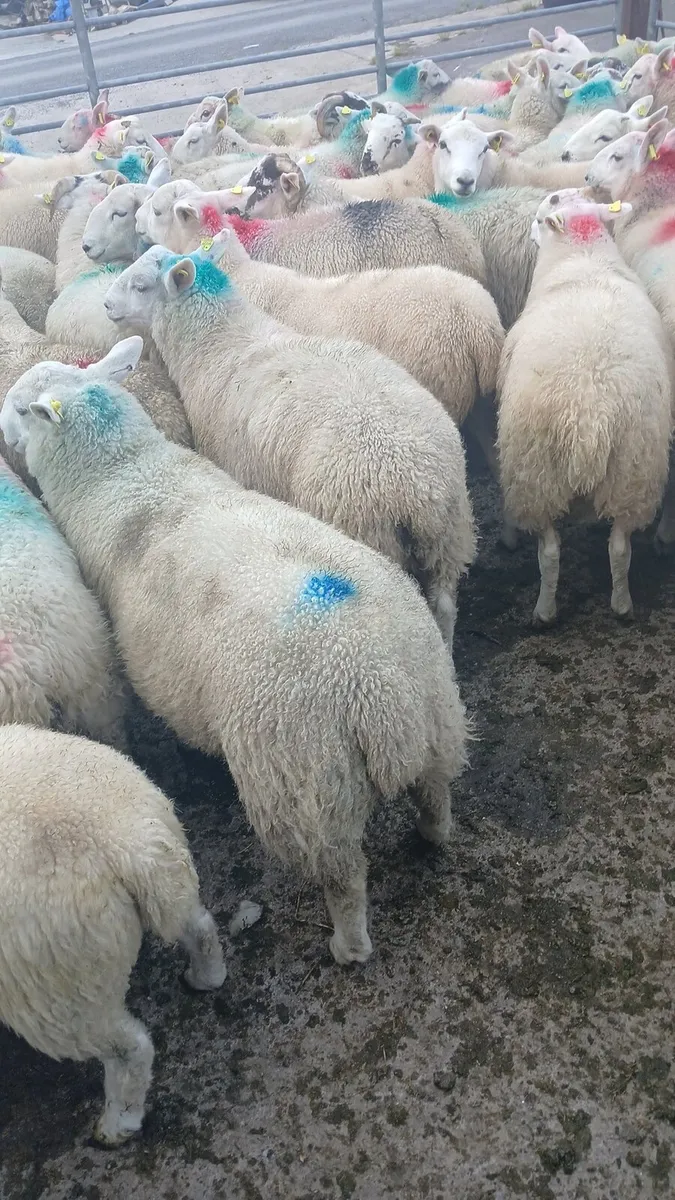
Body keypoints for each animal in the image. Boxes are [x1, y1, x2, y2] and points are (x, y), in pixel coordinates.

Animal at [0, 723, 225, 1146]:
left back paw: (118, 1123)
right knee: (200, 928)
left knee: (129, 1049)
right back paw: (205, 977)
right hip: (170, 881)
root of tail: (125, 848)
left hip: (59, 993)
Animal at [105, 242, 476, 648]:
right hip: (450, 540)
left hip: (364, 525)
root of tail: (417, 487)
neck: (221, 343)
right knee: (444, 607)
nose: (106, 305)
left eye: (141, 285)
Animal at [497, 198, 673, 624]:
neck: (584, 256)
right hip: (632, 469)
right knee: (620, 547)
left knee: (549, 551)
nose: (530, 232)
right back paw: (622, 606)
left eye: (540, 218)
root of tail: (590, 415)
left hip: (535, 474)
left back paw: (544, 612)